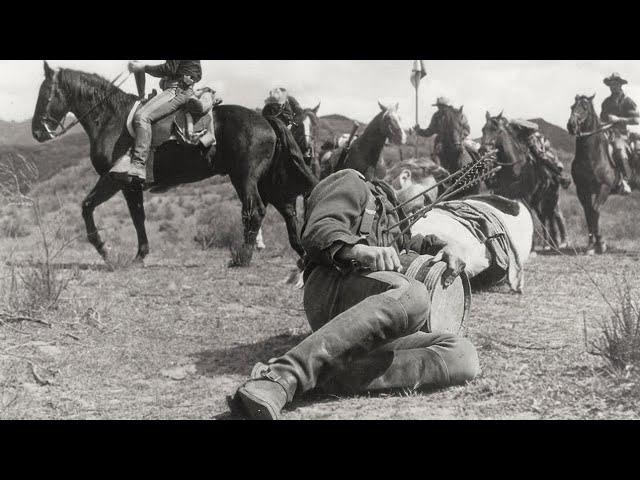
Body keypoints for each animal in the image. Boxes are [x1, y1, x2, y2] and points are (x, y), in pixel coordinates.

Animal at [31, 60, 318, 266]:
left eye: (45, 93)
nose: (36, 132)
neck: (111, 118)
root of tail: (265, 120)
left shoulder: (117, 180)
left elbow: (94, 208)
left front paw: (108, 250)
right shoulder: (128, 185)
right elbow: (133, 216)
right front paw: (136, 254)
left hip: (245, 177)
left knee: (255, 211)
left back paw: (242, 258)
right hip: (265, 179)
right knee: (287, 210)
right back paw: (301, 253)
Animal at [482, 112, 568, 248]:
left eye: (496, 130)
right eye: (483, 129)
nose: (483, 150)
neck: (514, 168)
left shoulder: (526, 197)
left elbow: (529, 218)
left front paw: (531, 247)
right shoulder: (503, 195)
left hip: (551, 198)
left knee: (551, 216)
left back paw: (555, 242)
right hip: (538, 201)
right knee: (544, 217)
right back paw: (547, 243)